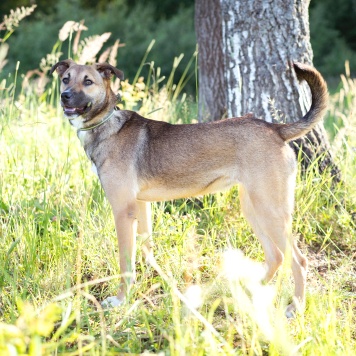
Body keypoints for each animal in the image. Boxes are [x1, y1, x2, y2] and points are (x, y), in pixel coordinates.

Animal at [50, 59, 328, 318]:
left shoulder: (122, 210)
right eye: (65, 79)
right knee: (276, 257)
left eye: (88, 81)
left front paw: (121, 300)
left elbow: (125, 262)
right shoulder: (140, 205)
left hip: (270, 211)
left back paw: (295, 307)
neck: (106, 125)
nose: (65, 96)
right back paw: (247, 293)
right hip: (254, 208)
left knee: (299, 261)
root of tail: (275, 128)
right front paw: (156, 281)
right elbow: (147, 249)